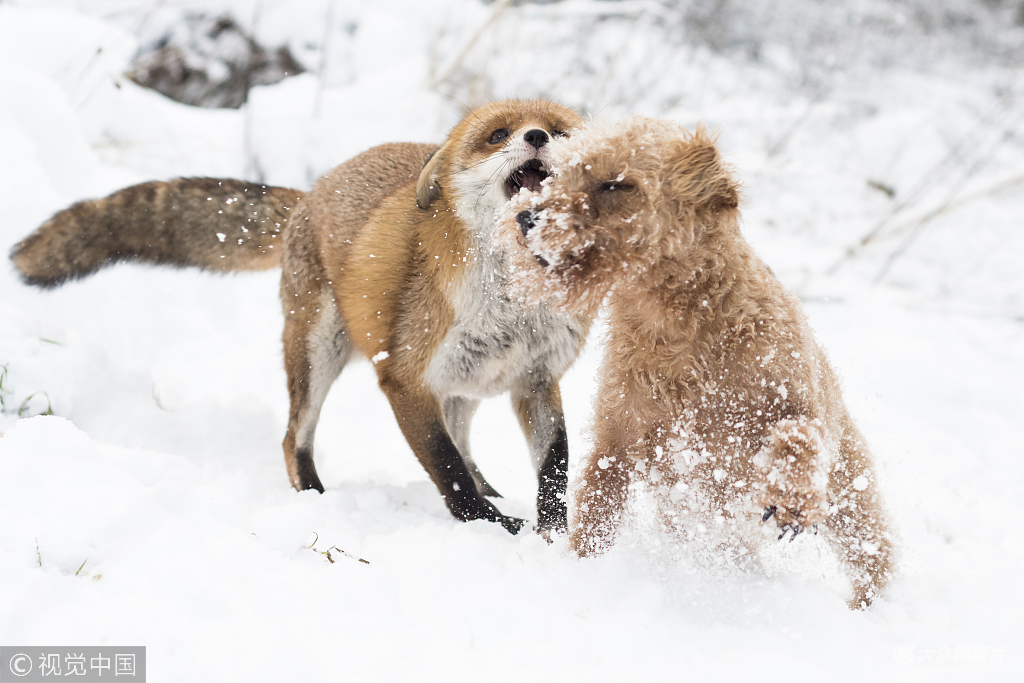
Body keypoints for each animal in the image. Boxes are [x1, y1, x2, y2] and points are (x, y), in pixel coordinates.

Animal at [497, 117, 897, 610]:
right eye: (559, 174)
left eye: (617, 183)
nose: (525, 217)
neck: (678, 324)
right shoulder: (618, 435)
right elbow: (596, 508)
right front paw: (582, 571)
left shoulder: (796, 400)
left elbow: (797, 435)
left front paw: (791, 496)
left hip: (852, 500)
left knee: (873, 557)